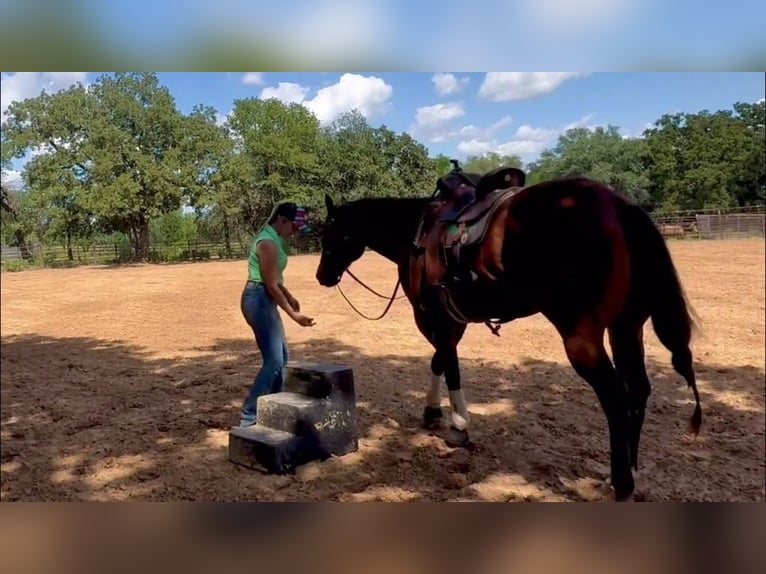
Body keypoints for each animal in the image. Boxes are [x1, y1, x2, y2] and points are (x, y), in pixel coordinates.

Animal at [314, 174, 702, 502]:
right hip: (626, 326)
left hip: (582, 335)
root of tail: (621, 207)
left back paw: (621, 484)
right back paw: (629, 470)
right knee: (637, 391)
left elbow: (448, 362)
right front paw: (432, 411)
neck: (415, 234)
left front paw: (458, 425)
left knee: (616, 399)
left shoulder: (431, 315)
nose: (321, 276)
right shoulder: (452, 318)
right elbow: (441, 359)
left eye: (329, 233)